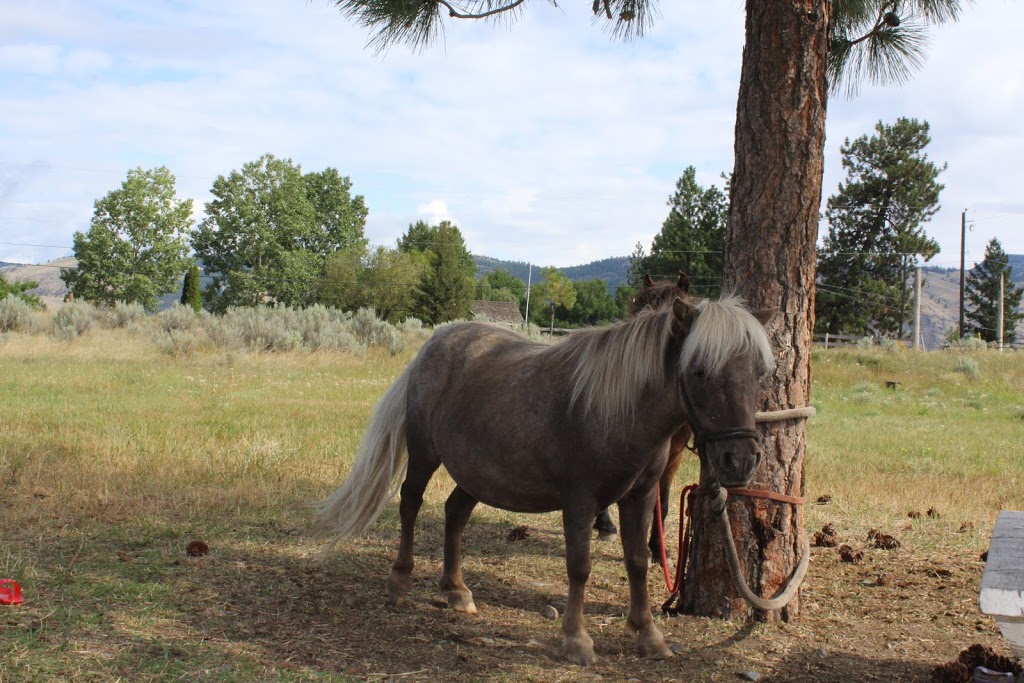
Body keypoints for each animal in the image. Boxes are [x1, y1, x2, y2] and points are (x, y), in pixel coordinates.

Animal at [315, 296, 770, 663]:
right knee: (411, 504)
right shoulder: (581, 502)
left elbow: (638, 562)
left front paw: (648, 636)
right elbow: (579, 567)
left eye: (758, 372)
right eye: (699, 370)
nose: (740, 460)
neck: (617, 410)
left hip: (477, 473)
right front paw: (576, 640)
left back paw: (457, 590)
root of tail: (435, 343)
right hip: (425, 454)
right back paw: (399, 582)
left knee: (455, 513)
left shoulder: (640, 497)